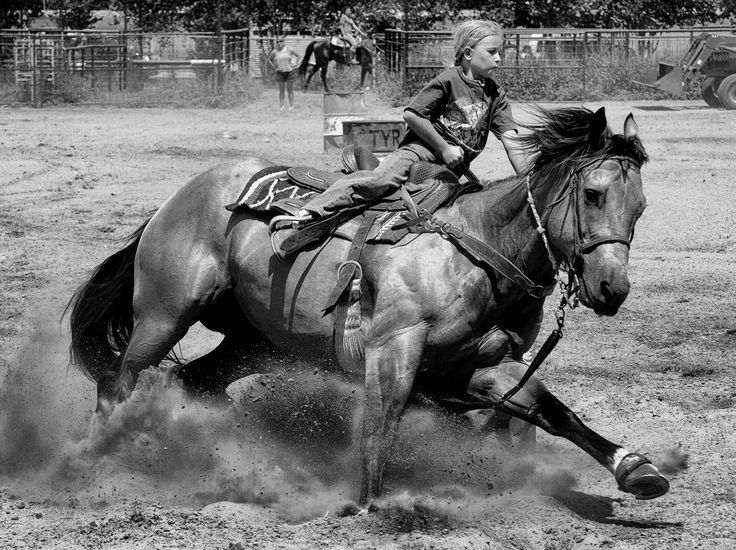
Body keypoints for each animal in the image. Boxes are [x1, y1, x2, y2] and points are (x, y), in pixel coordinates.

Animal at [67, 106, 670, 505]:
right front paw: (374, 506)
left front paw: (635, 468)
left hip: (251, 342)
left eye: (641, 207)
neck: (478, 248)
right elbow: (382, 427)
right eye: (593, 194)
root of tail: (176, 200)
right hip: (166, 313)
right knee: (117, 384)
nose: (613, 289)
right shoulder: (393, 348)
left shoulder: (482, 366)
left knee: (196, 382)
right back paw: (95, 463)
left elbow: (552, 410)